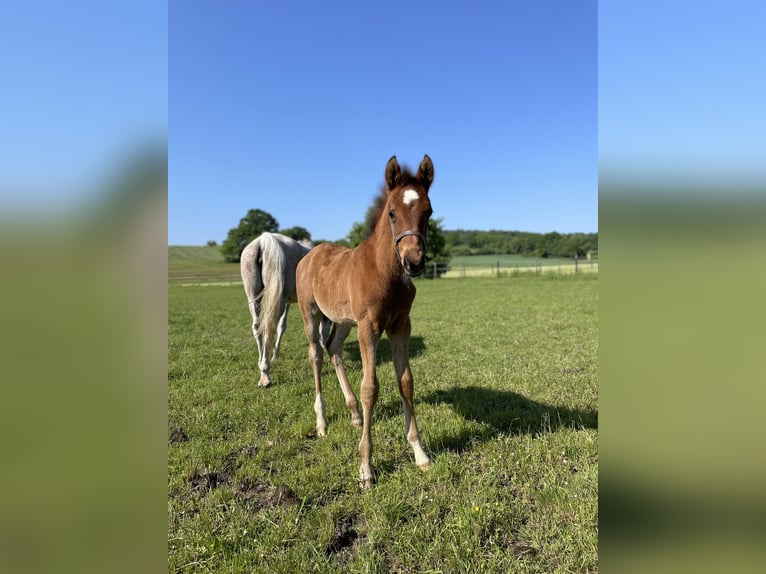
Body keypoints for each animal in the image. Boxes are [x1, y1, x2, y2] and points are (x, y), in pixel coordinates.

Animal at [240, 233, 312, 388]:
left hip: (253, 297)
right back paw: (265, 374)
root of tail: (264, 241)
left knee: (258, 327)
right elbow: (282, 326)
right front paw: (275, 355)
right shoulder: (287, 301)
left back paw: (261, 363)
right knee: (269, 327)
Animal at [296, 155, 436, 488]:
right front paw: (366, 468)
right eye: (392, 213)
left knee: (333, 348)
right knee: (316, 354)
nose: (414, 262)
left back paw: (355, 416)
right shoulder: (369, 328)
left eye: (429, 211)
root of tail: (311, 253)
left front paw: (420, 454)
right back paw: (321, 423)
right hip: (311, 314)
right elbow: (370, 388)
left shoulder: (401, 326)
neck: (385, 272)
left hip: (345, 321)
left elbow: (406, 381)